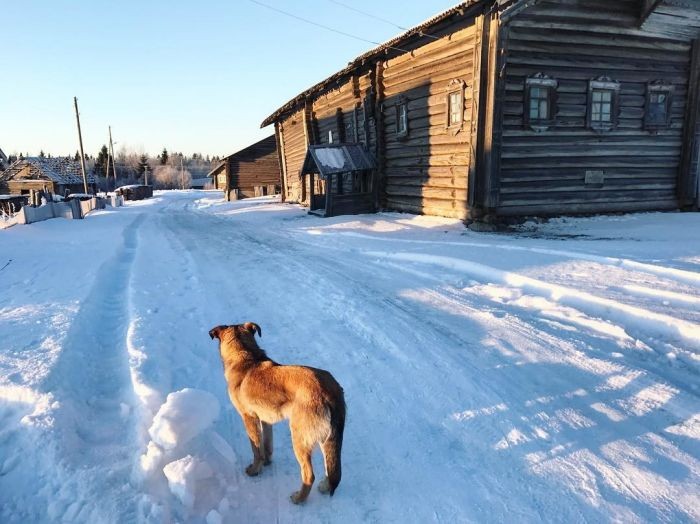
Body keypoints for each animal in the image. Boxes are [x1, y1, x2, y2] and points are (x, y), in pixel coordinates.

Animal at [211, 322, 348, 506]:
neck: (245, 356)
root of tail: (328, 392)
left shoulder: (249, 418)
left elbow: (256, 449)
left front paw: (255, 470)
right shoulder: (265, 420)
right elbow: (267, 445)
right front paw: (267, 462)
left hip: (299, 438)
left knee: (309, 475)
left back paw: (299, 498)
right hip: (327, 439)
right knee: (331, 467)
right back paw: (325, 487)